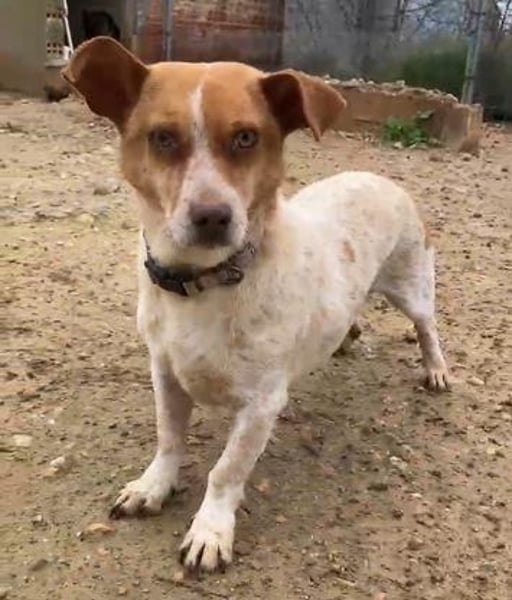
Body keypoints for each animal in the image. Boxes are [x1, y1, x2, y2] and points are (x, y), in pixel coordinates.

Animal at [62, 37, 450, 573]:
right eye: (162, 138)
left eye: (246, 138)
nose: (212, 215)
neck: (205, 283)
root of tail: (375, 175)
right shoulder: (165, 372)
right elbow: (169, 438)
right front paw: (153, 486)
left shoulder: (262, 403)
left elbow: (226, 471)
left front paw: (210, 530)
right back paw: (347, 336)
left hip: (412, 286)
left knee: (427, 327)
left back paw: (435, 369)